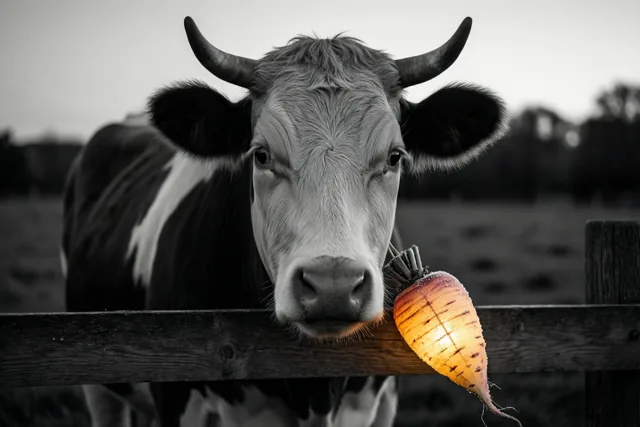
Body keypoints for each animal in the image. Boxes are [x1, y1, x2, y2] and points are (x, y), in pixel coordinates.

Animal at [61, 15, 507, 427]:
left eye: (395, 156)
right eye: (260, 154)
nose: (332, 285)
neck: (314, 391)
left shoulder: (381, 405)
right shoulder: (176, 399)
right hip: (98, 380)